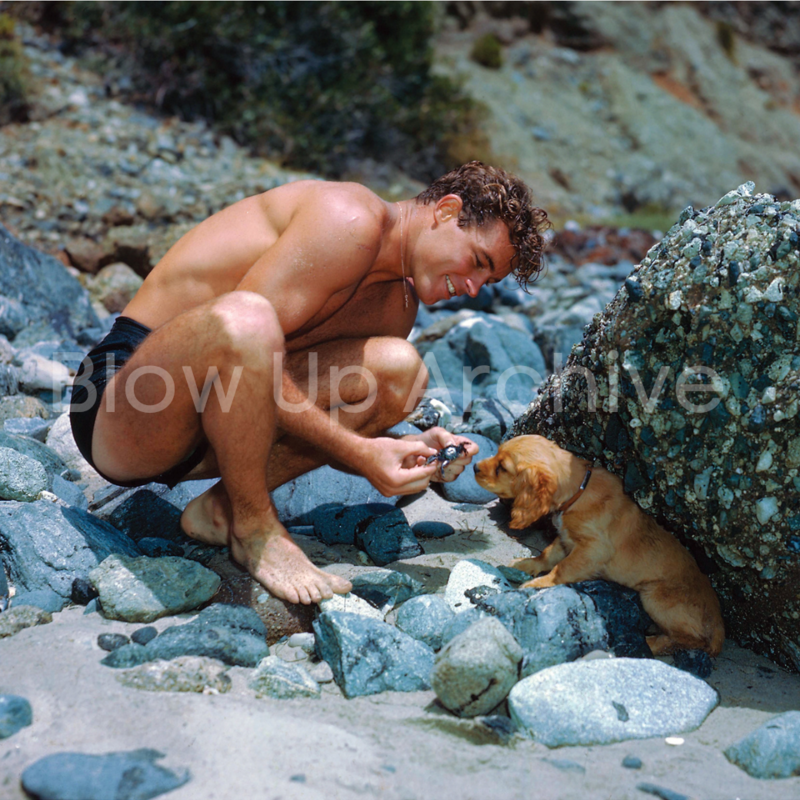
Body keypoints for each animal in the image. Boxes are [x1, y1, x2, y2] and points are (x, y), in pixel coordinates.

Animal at [476, 438, 724, 656]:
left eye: (502, 468)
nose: (475, 467)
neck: (579, 492)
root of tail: (719, 629)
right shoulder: (565, 538)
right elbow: (548, 554)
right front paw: (526, 564)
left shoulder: (592, 549)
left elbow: (561, 569)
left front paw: (540, 584)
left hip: (654, 596)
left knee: (689, 640)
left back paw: (647, 644)